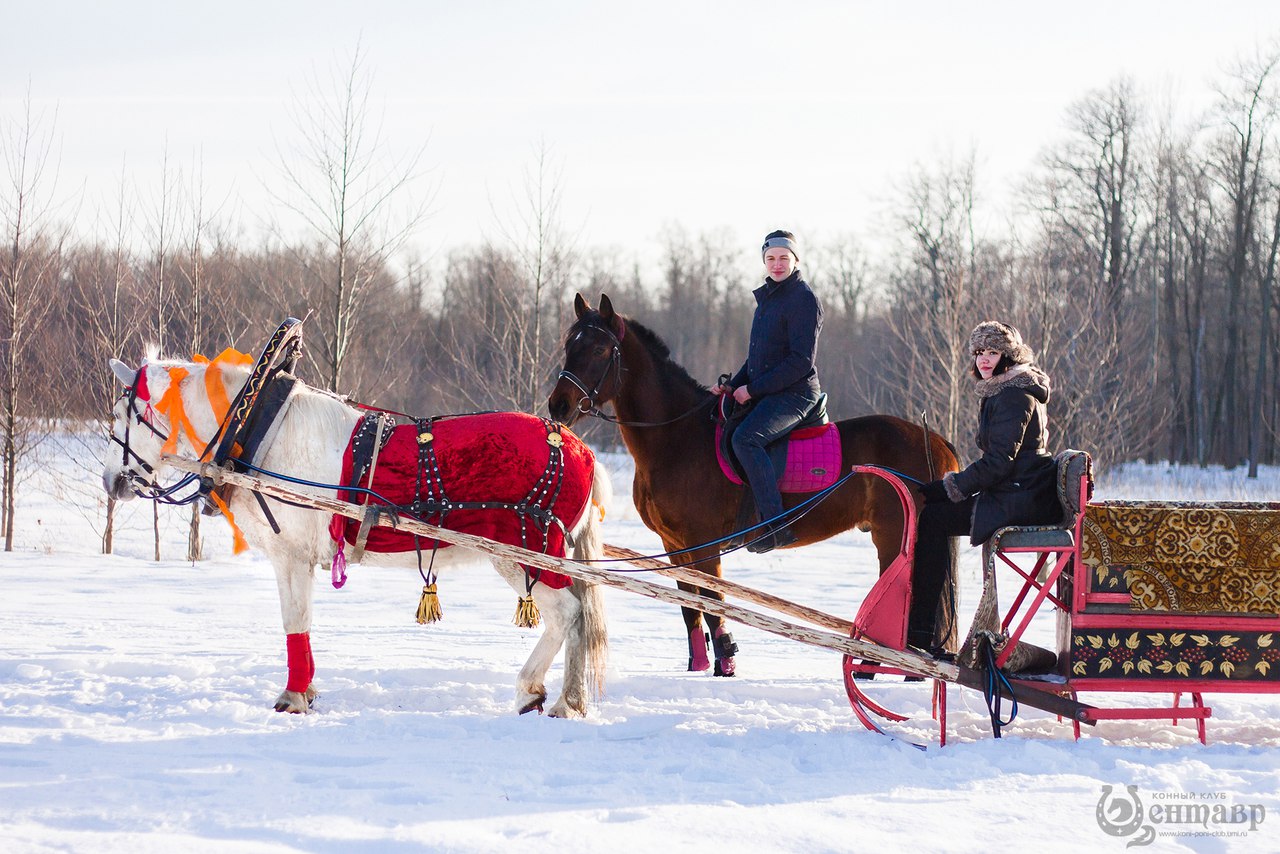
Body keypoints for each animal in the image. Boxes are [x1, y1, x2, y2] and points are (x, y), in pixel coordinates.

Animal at [99, 350, 609, 717]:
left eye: (124, 412)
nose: (110, 481)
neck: (257, 431)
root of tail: (583, 450)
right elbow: (300, 624)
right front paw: (306, 689)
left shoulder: (291, 554)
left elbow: (294, 619)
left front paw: (293, 697)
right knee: (579, 615)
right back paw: (568, 698)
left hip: (523, 552)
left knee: (569, 614)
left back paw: (544, 695)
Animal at [545, 297, 957, 676]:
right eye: (569, 345)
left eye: (599, 349)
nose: (558, 406)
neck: (677, 436)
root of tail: (937, 442)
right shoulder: (674, 544)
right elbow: (690, 608)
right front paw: (699, 665)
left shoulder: (703, 542)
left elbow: (713, 601)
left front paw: (726, 663)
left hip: (895, 538)